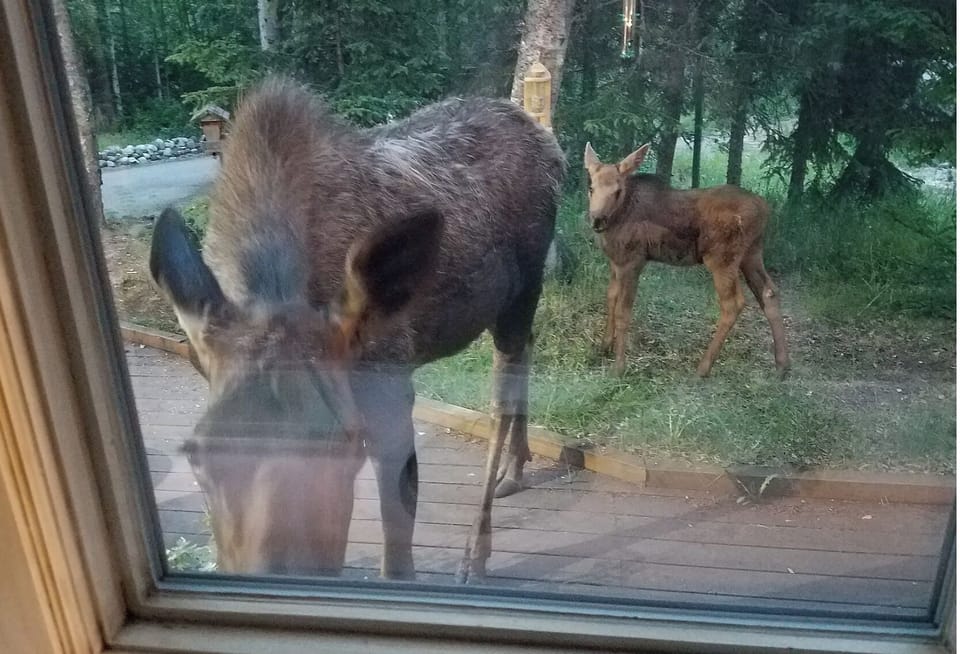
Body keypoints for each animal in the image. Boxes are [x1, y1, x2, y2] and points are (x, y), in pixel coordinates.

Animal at [149, 77, 564, 583]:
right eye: (195, 453)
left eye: (343, 445)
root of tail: (546, 139)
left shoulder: (388, 383)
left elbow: (397, 550)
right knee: (527, 353)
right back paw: (516, 467)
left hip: (524, 288)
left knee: (503, 389)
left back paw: (476, 550)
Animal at [584, 142, 789, 378]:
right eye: (591, 188)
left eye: (617, 191)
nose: (597, 219)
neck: (617, 220)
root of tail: (765, 208)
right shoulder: (615, 263)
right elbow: (610, 297)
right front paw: (603, 346)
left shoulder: (633, 261)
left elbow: (622, 312)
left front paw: (618, 367)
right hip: (752, 254)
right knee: (769, 292)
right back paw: (782, 364)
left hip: (721, 258)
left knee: (733, 304)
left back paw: (703, 368)